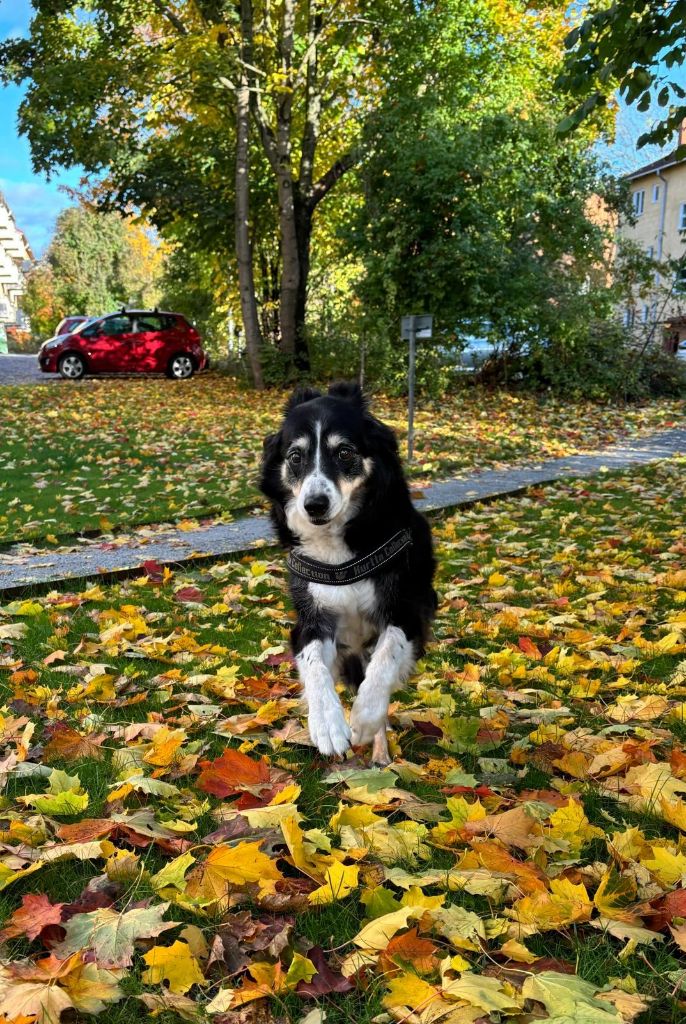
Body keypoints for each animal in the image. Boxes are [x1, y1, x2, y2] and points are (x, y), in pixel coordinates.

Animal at [261, 380, 438, 765]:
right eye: (295, 457)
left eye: (344, 452)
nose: (314, 505)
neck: (338, 549)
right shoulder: (311, 622)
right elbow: (314, 665)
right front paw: (328, 724)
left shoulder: (407, 613)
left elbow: (387, 657)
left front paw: (363, 719)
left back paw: (380, 751)